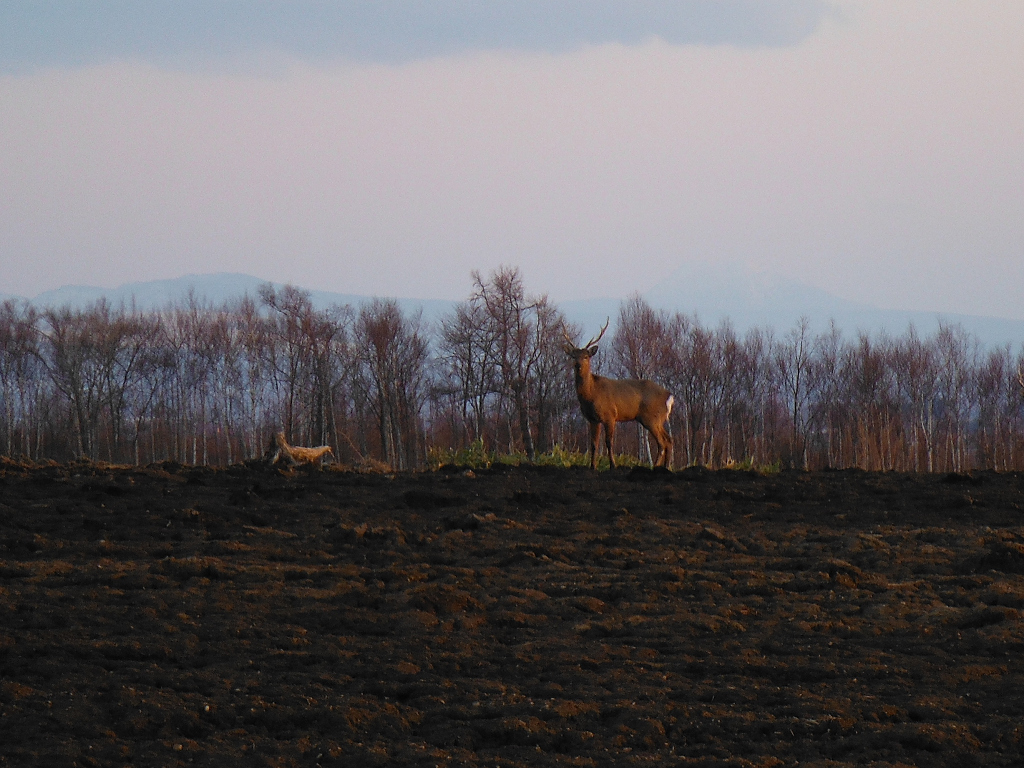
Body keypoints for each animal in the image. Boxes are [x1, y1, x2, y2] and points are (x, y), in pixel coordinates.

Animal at [569, 319, 671, 468]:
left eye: (586, 356)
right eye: (573, 356)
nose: (578, 365)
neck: (591, 394)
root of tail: (669, 396)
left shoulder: (610, 415)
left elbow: (609, 442)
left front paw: (613, 465)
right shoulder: (592, 419)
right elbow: (593, 444)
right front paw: (592, 466)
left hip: (651, 418)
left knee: (662, 442)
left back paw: (655, 466)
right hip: (658, 419)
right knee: (669, 440)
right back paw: (666, 467)